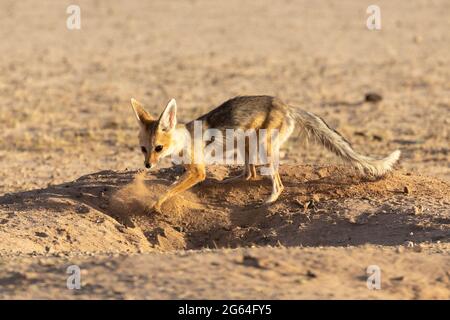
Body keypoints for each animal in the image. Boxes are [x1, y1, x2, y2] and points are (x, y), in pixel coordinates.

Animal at [131, 94, 400, 212]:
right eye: (144, 149)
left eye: (158, 148)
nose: (147, 166)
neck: (185, 139)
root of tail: (287, 104)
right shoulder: (191, 169)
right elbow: (173, 184)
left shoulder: (198, 171)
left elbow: (170, 189)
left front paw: (156, 203)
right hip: (247, 144)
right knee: (250, 174)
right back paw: (229, 181)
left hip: (264, 148)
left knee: (277, 183)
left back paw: (269, 200)